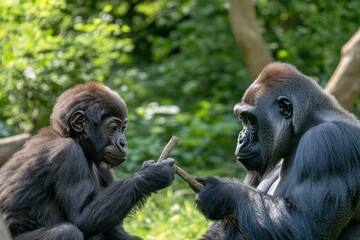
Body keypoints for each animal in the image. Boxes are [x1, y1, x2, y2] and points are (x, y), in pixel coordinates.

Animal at [0, 82, 176, 240]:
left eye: (123, 129)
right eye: (113, 128)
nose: (123, 143)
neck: (72, 137)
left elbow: (113, 229)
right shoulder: (68, 154)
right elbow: (83, 216)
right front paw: (152, 175)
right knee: (65, 232)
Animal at [195, 62, 360, 239]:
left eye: (250, 120)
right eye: (242, 119)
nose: (241, 138)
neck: (304, 125)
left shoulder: (327, 141)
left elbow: (304, 225)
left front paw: (223, 192)